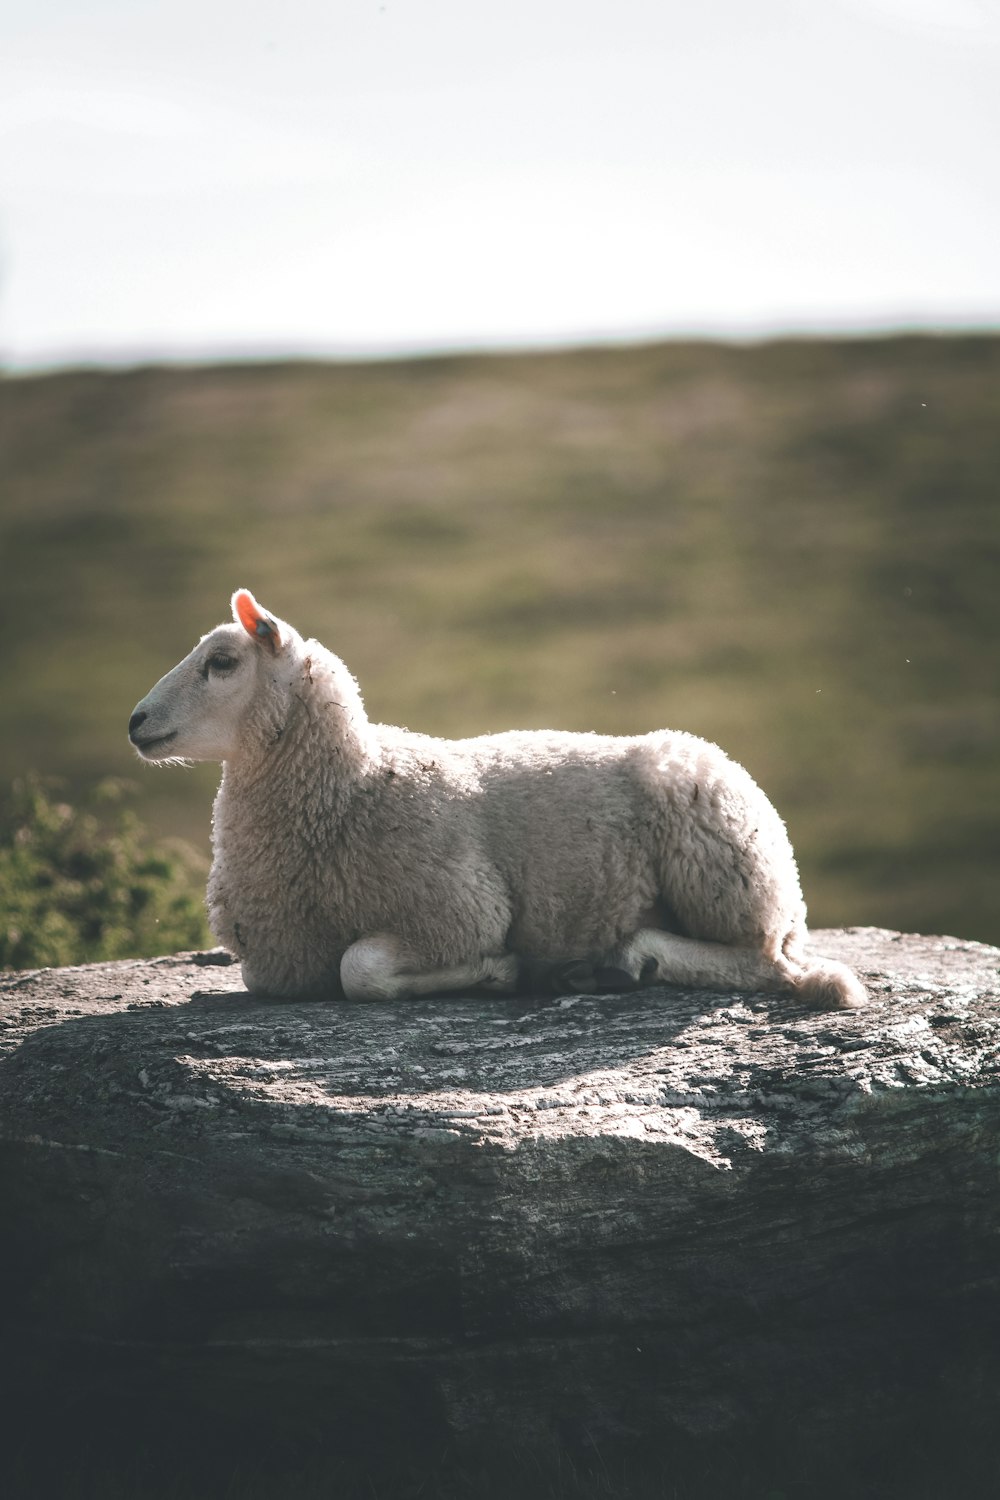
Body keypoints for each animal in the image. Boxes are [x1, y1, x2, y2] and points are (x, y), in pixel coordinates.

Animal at [128, 585, 869, 1008]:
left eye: (222, 662)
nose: (135, 722)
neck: (353, 787)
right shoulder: (279, 961)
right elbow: (288, 977)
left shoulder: (459, 912)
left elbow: (360, 969)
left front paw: (497, 973)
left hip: (726, 875)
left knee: (768, 965)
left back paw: (629, 960)